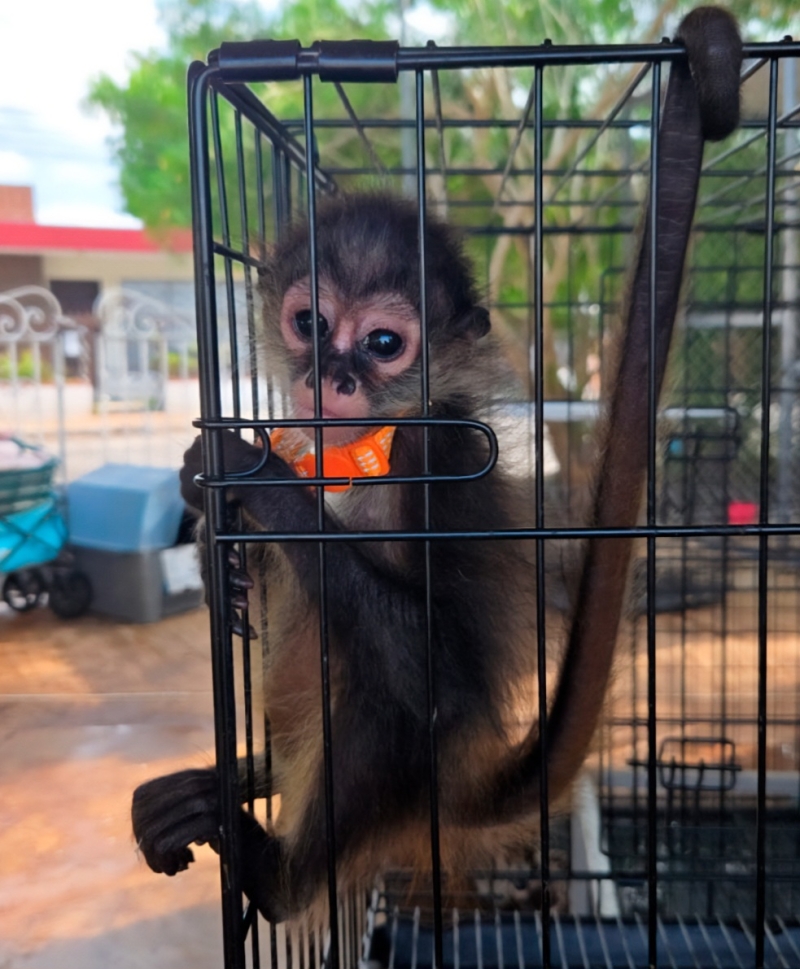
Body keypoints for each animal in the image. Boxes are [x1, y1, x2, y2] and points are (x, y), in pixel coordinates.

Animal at [132, 7, 742, 925]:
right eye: (311, 322)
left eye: (384, 342)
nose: (334, 375)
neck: (359, 449)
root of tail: (441, 795)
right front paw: (218, 548)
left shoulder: (442, 448)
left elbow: (440, 681)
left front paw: (262, 484)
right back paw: (242, 775)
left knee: (385, 707)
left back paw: (274, 874)